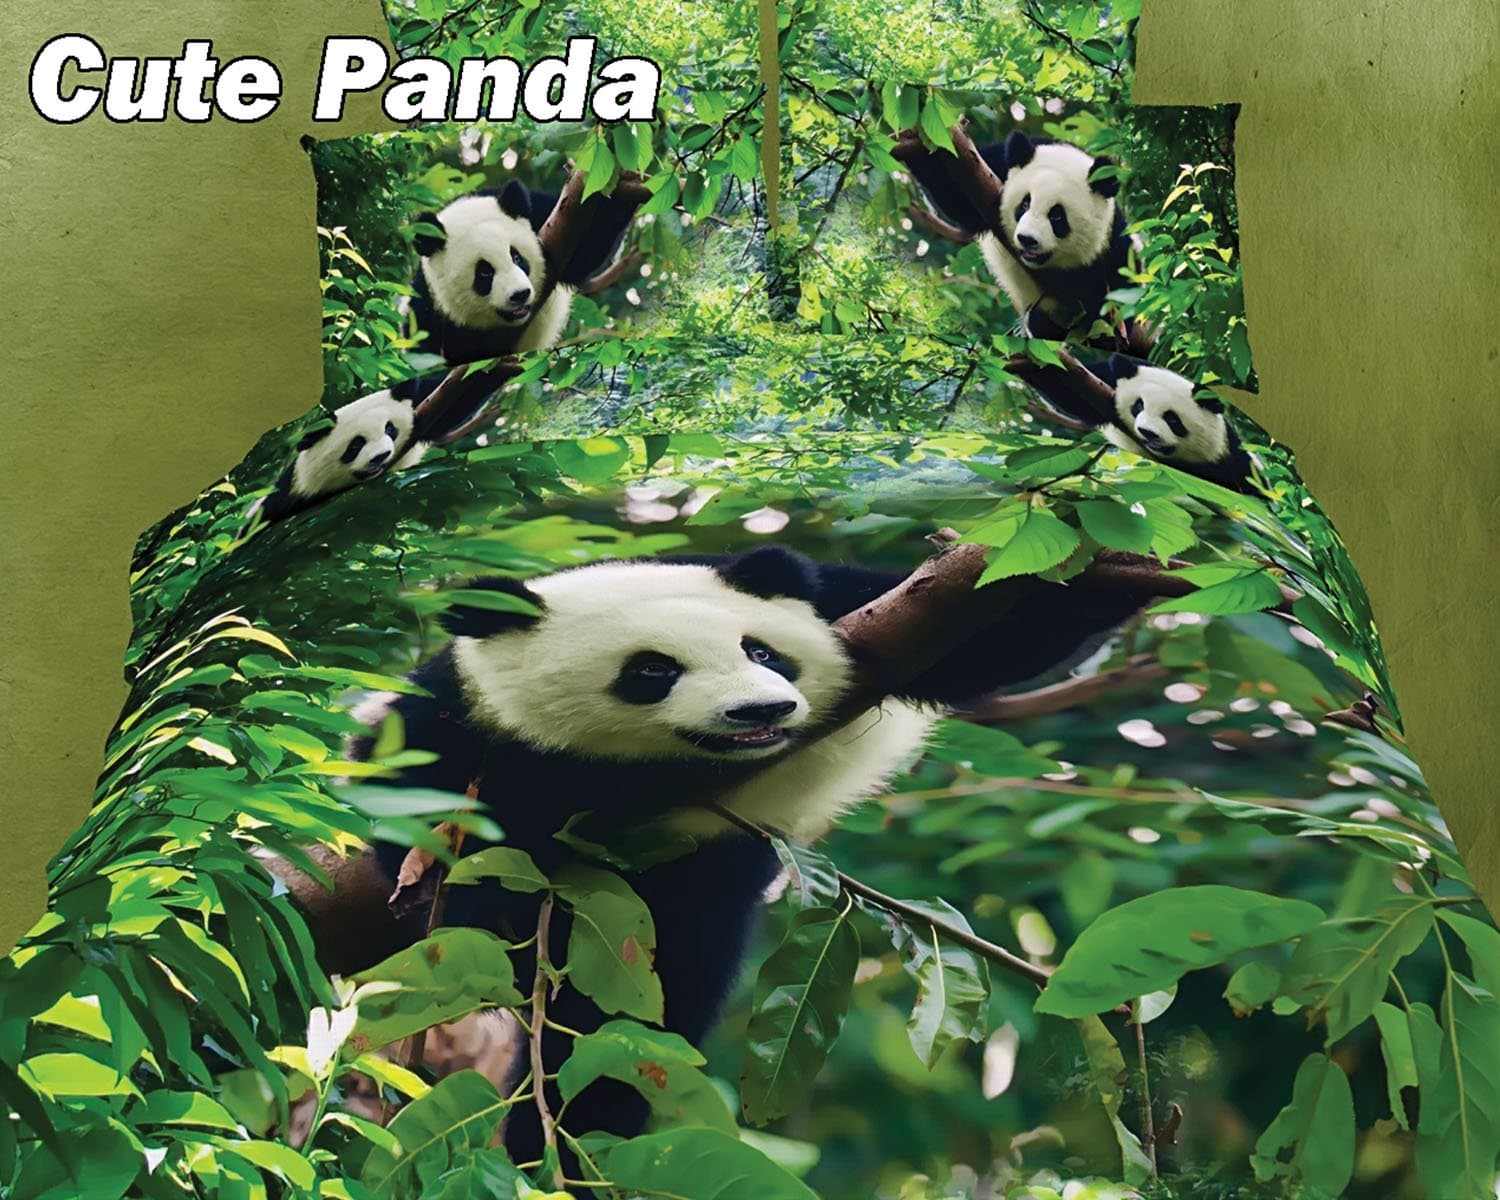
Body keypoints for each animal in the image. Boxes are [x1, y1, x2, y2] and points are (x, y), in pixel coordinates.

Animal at [337, 544, 1146, 1162]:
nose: (763, 709)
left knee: (642, 1015)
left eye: (763, 651)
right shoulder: (461, 710)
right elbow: (416, 797)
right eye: (652, 670)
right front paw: (475, 899)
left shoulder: (868, 613)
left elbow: (1001, 630)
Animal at [407, 179, 636, 364]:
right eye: (484, 273)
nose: (520, 295)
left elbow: (589, 245)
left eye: (517, 257)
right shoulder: (427, 308)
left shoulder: (544, 216)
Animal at [908, 129, 1131, 340]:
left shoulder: (1111, 239)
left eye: (1057, 216)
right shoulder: (992, 169)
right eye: (1024, 204)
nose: (1027, 239)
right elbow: (956, 196)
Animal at [1016, 353, 1256, 492]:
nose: (1148, 432)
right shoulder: (1104, 381)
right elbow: (1069, 390)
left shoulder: (1229, 458)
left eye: (1172, 419)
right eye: (1138, 406)